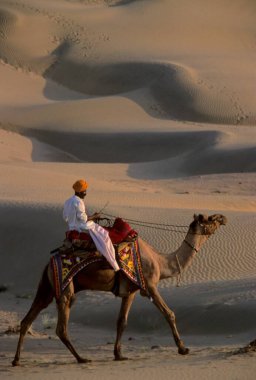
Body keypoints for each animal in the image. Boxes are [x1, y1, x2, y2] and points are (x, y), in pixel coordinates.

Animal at [13, 214, 227, 366]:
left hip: (47, 288)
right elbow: (169, 314)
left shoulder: (130, 291)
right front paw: (183, 348)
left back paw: (16, 360)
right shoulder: (150, 285)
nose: (223, 217)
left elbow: (121, 322)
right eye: (209, 219)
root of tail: (49, 263)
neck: (161, 261)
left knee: (27, 319)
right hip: (66, 287)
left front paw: (118, 354)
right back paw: (82, 359)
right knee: (61, 327)